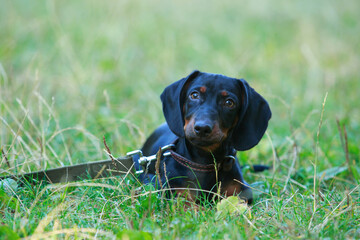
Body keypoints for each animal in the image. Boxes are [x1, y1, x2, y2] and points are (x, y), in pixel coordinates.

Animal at [134, 70, 270, 203]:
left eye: (229, 102)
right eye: (194, 95)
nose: (202, 128)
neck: (204, 162)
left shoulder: (241, 193)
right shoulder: (170, 189)